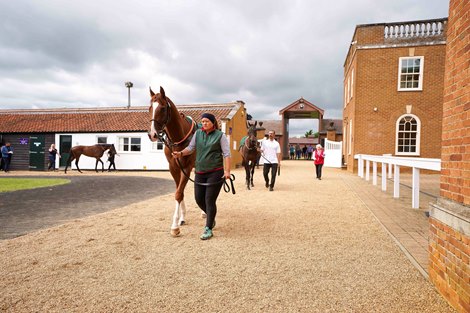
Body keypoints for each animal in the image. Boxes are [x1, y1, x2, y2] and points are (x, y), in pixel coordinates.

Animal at [148, 85, 197, 236]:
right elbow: (178, 192)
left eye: (163, 108)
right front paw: (181, 218)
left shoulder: (187, 168)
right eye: (149, 108)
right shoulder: (174, 168)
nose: (152, 134)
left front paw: (175, 226)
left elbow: (178, 193)